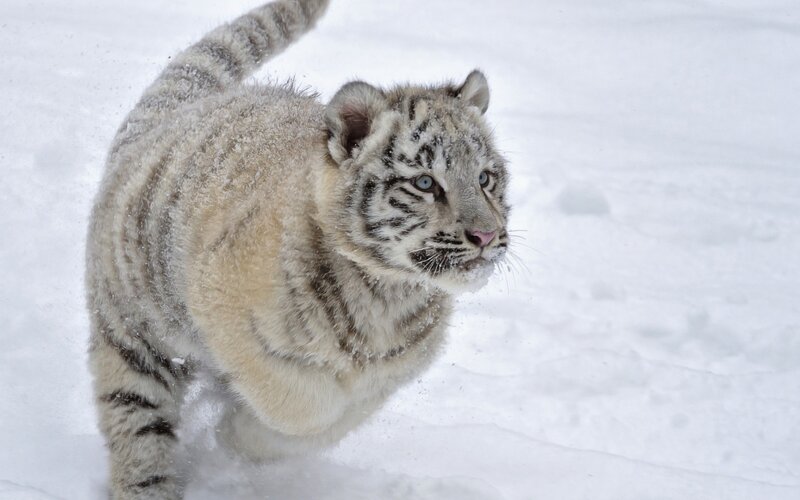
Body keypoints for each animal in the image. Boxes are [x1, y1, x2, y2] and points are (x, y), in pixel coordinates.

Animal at [85, 0, 511, 497]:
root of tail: (179, 112)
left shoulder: (384, 377)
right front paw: (234, 432)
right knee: (138, 428)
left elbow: (330, 420)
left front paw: (241, 434)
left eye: (484, 178)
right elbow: (302, 405)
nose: (486, 235)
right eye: (425, 183)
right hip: (134, 336)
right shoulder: (225, 310)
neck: (386, 294)